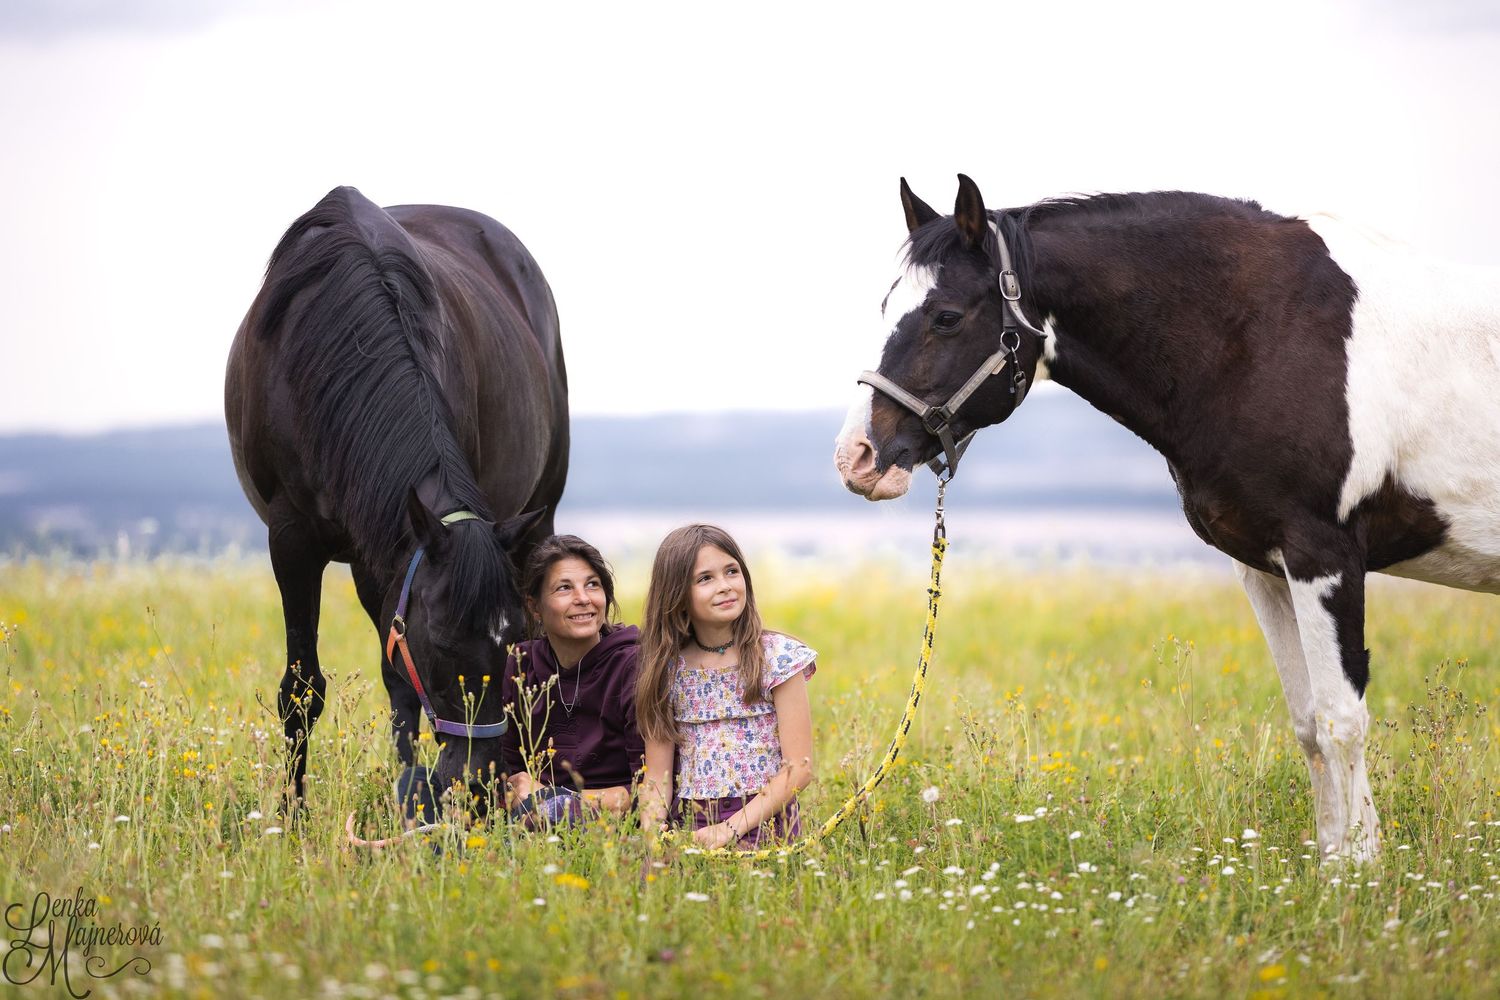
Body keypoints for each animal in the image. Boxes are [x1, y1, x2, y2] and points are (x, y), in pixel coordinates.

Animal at [225, 186, 569, 813]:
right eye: (442, 646)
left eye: (510, 645)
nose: (480, 780)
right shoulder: (294, 542)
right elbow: (303, 689)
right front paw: (292, 813)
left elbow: (402, 694)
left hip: (537, 518)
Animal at [835, 174, 1500, 864]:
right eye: (887, 305)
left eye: (945, 316)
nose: (856, 456)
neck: (1263, 332)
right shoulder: (1267, 568)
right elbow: (1308, 723)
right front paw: (1331, 869)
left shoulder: (1327, 557)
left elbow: (1341, 720)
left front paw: (1362, 874)